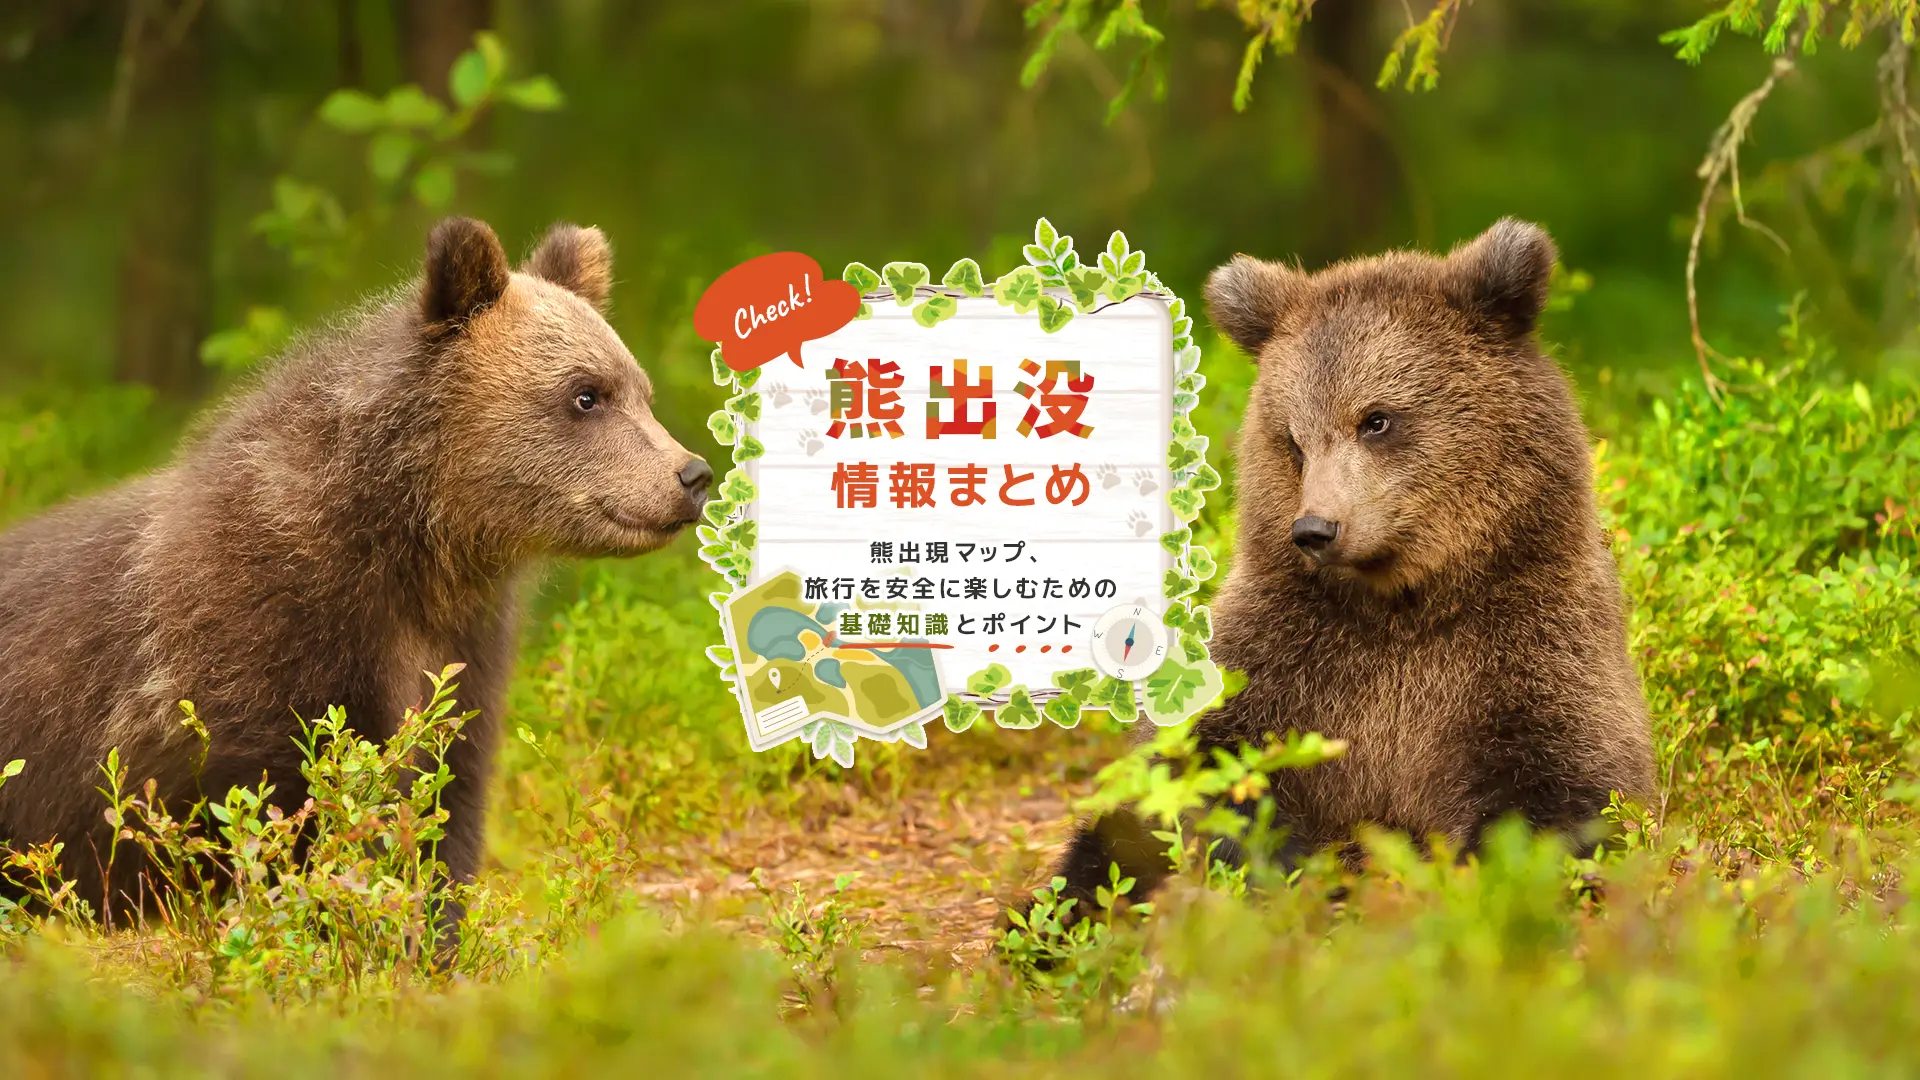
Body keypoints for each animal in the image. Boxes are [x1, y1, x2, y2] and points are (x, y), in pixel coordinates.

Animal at [0, 216, 711, 919]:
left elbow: (448, 795)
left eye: (641, 392)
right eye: (586, 395)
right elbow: (284, 803)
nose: (693, 475)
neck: (410, 548)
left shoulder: (463, 651)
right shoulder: (266, 638)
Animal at [1034, 218, 1653, 921]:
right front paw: (1297, 862)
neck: (1403, 603)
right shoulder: (1287, 650)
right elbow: (1201, 767)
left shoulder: (1528, 640)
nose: (1315, 529)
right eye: (1293, 439)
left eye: (1376, 419)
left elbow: (1567, 780)